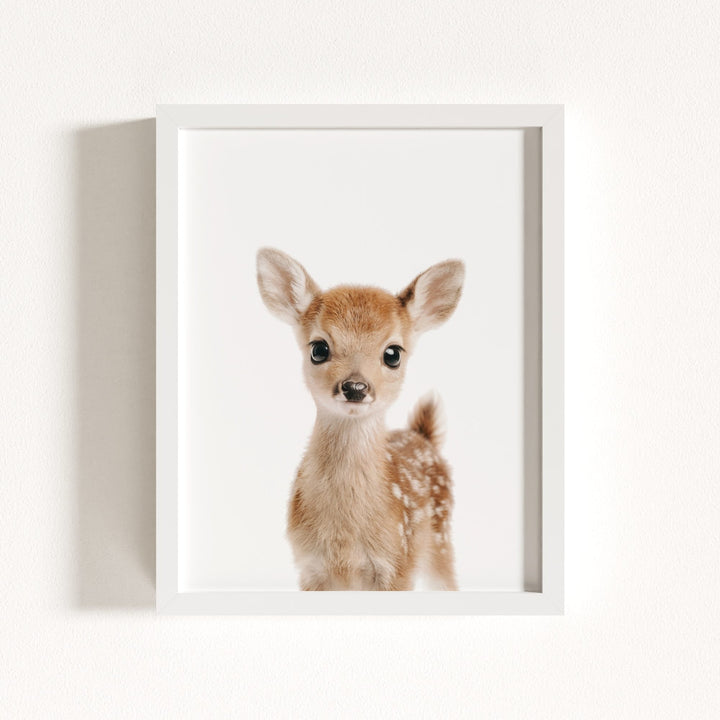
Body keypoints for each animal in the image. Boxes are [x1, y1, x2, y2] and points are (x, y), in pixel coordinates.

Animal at [256, 248, 464, 591]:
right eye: (319, 348)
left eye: (393, 353)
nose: (355, 387)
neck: (344, 541)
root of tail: (423, 436)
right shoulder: (309, 567)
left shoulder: (398, 565)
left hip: (440, 540)